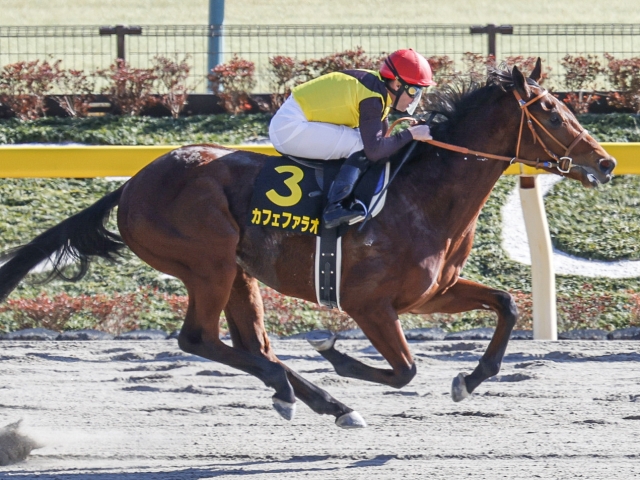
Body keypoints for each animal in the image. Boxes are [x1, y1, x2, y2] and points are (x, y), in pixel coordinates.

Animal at [0, 62, 616, 428]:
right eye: (550, 110)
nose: (606, 162)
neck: (423, 195)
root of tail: (132, 183)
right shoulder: (369, 306)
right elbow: (405, 370)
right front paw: (336, 354)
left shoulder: (429, 295)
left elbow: (507, 304)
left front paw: (469, 380)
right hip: (208, 263)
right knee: (200, 339)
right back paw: (307, 391)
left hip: (238, 272)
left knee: (253, 345)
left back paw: (319, 400)